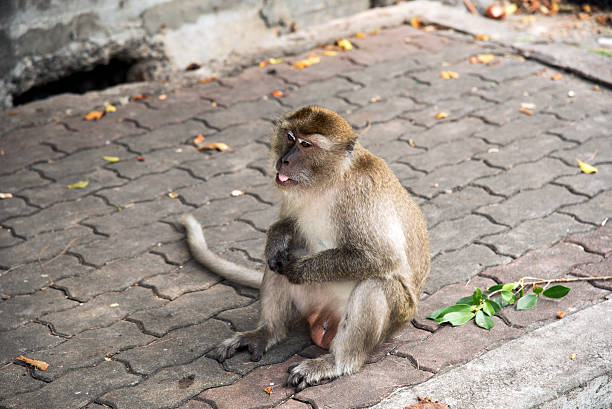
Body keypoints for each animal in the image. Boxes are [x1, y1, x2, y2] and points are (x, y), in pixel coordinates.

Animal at [182, 104, 430, 388]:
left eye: (306, 144)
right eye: (290, 137)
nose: (285, 160)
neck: (328, 182)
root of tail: (325, 319)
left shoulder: (362, 194)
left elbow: (383, 258)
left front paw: (298, 269)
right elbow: (288, 228)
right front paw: (277, 237)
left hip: (395, 318)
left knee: (376, 283)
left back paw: (337, 362)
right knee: (275, 265)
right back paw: (266, 332)